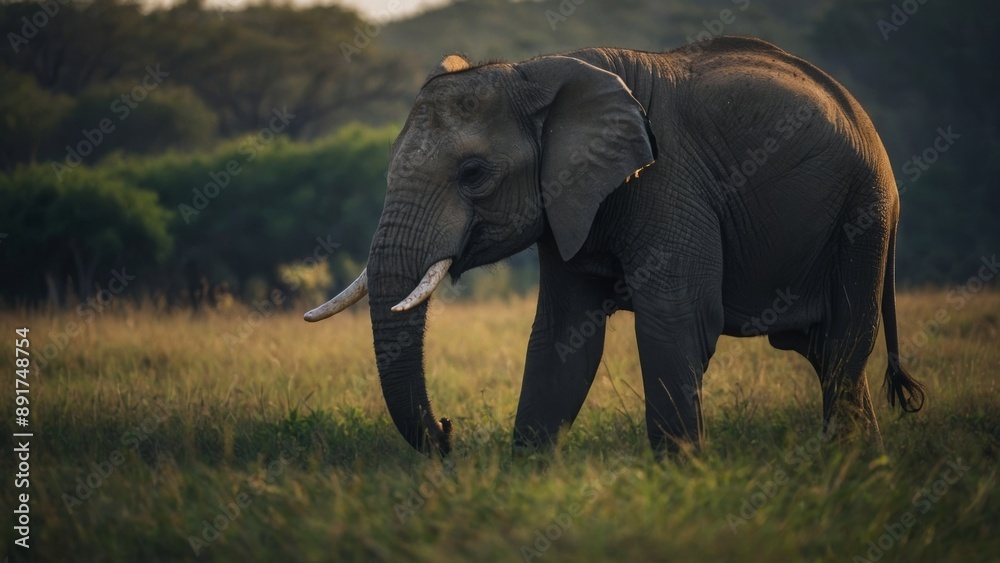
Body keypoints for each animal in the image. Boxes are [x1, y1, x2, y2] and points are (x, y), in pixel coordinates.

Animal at [304, 36, 925, 457]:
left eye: (473, 173)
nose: (449, 432)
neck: (537, 71)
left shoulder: (671, 183)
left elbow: (677, 322)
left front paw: (682, 480)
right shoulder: (568, 202)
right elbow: (561, 337)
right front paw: (527, 476)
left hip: (863, 215)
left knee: (843, 348)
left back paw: (849, 470)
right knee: (826, 354)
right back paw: (860, 466)